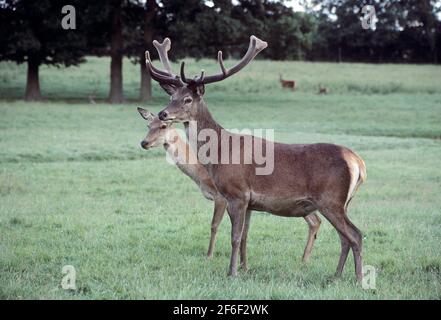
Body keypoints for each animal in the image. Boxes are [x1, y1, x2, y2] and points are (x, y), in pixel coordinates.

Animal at [138, 108, 324, 262]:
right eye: (148, 125)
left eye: (163, 126)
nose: (144, 143)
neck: (200, 174)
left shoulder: (221, 197)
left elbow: (214, 225)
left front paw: (209, 256)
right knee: (316, 220)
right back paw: (304, 259)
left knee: (315, 220)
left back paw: (304, 259)